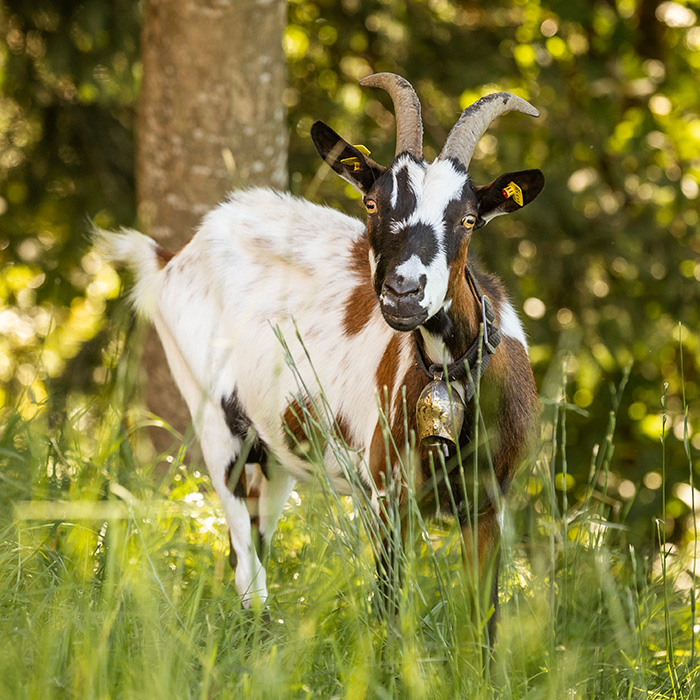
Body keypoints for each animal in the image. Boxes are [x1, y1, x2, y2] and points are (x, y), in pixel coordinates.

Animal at [97, 74, 540, 620]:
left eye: (469, 219)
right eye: (372, 204)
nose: (403, 291)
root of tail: (174, 255)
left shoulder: (490, 503)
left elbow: (484, 622)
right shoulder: (389, 492)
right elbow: (389, 611)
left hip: (277, 448)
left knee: (253, 542)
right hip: (217, 421)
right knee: (247, 564)